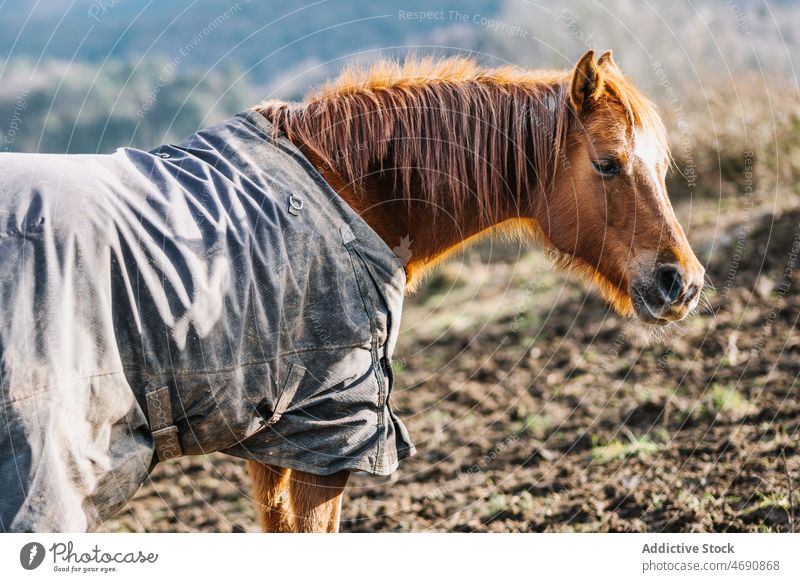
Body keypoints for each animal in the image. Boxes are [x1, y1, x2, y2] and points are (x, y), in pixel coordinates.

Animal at [247, 50, 704, 532]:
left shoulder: (275, 444)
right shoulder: (324, 439)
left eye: (662, 166)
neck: (341, 199)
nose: (683, 282)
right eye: (607, 163)